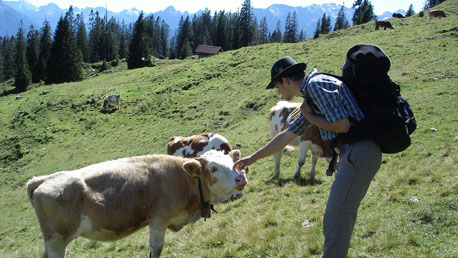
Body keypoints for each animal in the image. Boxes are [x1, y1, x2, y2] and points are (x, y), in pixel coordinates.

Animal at [25, 150, 247, 256]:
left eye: (232, 162)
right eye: (213, 168)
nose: (241, 178)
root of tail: (44, 179)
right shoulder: (158, 220)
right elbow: (156, 249)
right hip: (57, 240)